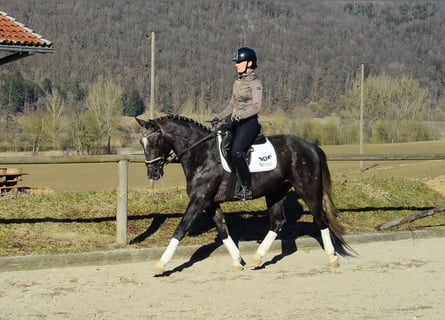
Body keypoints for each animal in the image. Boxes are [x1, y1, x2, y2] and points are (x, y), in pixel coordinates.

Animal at [135, 114, 350, 276]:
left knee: (321, 219)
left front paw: (160, 265)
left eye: (155, 142)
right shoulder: (210, 202)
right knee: (277, 222)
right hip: (275, 191)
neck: (202, 154)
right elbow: (223, 230)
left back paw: (332, 257)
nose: (153, 174)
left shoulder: (199, 200)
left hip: (307, 189)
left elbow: (180, 229)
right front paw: (238, 260)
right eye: (141, 142)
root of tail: (310, 146)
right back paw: (257, 258)